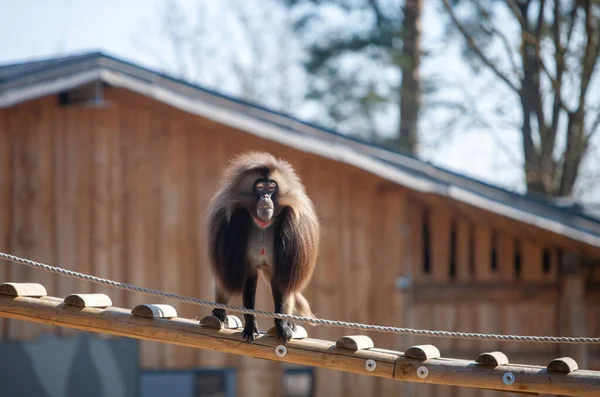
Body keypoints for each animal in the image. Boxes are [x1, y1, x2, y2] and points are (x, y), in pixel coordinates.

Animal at [206, 152, 318, 344]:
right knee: (224, 281)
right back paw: (219, 311)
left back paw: (289, 323)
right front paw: (250, 325)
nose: (265, 197)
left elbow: (281, 283)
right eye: (259, 187)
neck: (264, 223)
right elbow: (247, 279)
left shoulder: (289, 227)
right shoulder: (237, 221)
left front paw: (282, 326)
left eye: (271, 187)